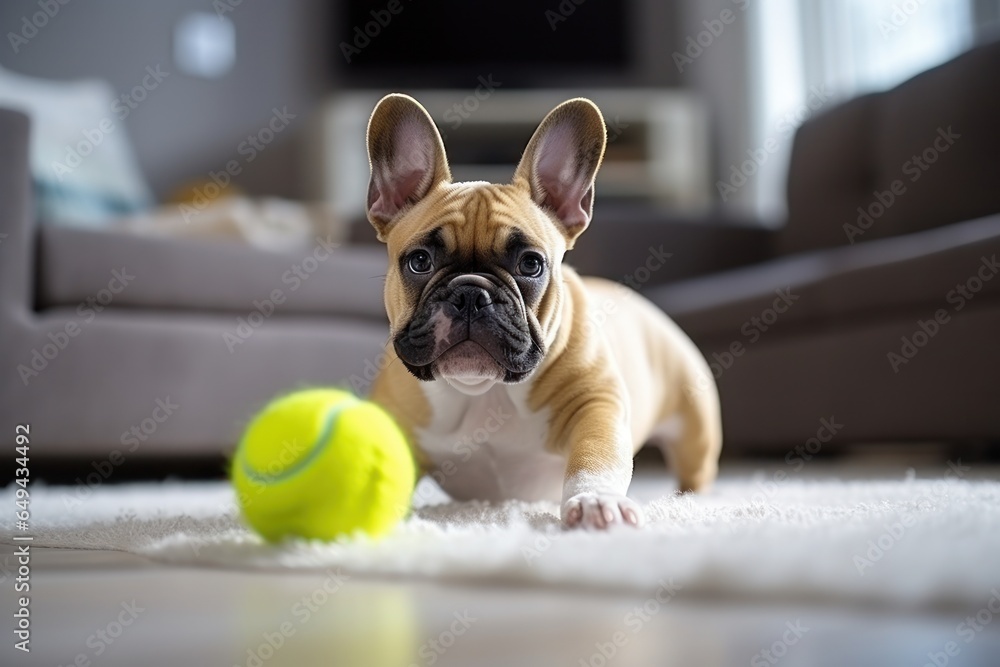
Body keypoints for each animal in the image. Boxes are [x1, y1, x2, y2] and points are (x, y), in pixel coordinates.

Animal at [368, 95, 720, 532]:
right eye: (419, 261)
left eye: (531, 264)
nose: (471, 293)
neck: (482, 391)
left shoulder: (597, 405)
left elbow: (595, 457)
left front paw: (595, 500)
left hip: (696, 426)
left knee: (695, 469)